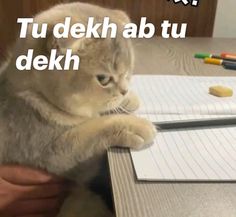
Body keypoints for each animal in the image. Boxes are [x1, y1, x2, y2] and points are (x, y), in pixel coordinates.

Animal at [0, 2, 157, 217]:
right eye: (103, 79)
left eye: (128, 71)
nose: (124, 90)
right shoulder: (53, 152)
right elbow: (95, 129)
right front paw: (134, 125)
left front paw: (128, 99)